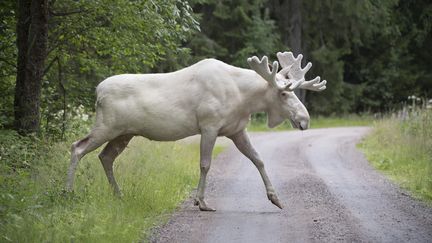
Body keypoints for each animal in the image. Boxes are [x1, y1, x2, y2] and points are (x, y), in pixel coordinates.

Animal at [66, 50, 326, 211]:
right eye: (283, 93)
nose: (305, 119)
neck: (244, 98)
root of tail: (97, 91)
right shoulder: (209, 125)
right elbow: (205, 164)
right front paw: (201, 202)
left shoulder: (236, 130)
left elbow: (258, 159)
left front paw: (275, 198)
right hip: (107, 126)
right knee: (77, 147)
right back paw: (67, 192)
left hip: (124, 133)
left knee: (105, 156)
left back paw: (118, 194)